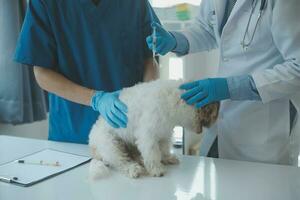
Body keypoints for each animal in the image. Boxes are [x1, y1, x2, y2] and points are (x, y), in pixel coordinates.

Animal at [88, 79, 219, 179]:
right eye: (212, 112)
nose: (216, 119)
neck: (173, 99)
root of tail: (92, 145)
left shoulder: (165, 134)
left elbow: (164, 149)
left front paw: (168, 159)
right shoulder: (147, 136)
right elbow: (152, 154)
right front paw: (156, 169)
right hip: (111, 145)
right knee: (121, 162)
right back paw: (133, 169)